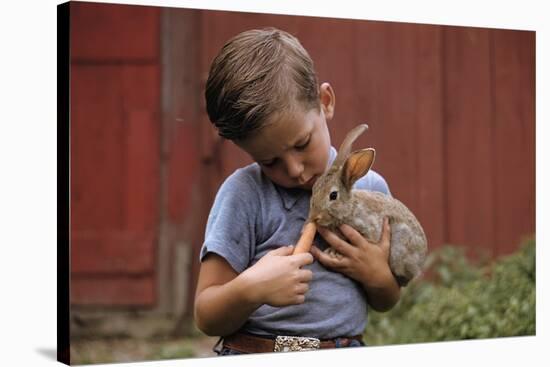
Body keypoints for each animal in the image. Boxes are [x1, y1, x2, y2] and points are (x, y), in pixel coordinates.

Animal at [308, 125, 430, 286]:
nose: (314, 217)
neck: (349, 209)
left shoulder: (367, 231)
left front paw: (332, 251)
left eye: (333, 196)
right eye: (314, 189)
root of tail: (420, 263)